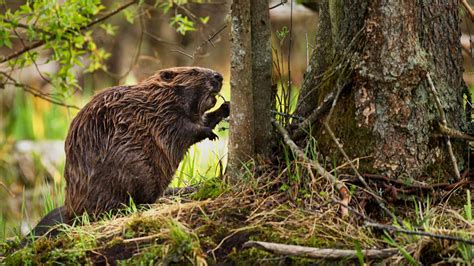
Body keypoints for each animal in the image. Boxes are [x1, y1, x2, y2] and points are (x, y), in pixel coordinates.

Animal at [26, 66, 231, 239]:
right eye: (193, 72)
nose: (219, 76)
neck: (158, 98)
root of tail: (70, 214)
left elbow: (202, 119)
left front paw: (225, 107)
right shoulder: (164, 116)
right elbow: (184, 129)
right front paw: (210, 133)